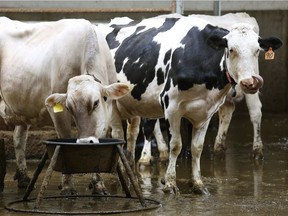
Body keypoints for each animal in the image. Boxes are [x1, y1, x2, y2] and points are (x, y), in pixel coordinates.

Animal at [0, 16, 127, 194]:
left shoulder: (107, 111)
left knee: (19, 137)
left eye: (96, 102)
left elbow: (99, 138)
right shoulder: (56, 111)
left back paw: (24, 178)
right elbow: (64, 139)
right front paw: (67, 185)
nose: (84, 142)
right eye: (69, 107)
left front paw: (98, 184)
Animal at [99, 15, 282, 194]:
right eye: (231, 49)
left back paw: (130, 175)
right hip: (112, 107)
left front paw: (197, 183)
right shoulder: (171, 106)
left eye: (257, 50)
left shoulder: (207, 111)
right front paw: (170, 183)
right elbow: (175, 145)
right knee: (117, 136)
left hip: (132, 105)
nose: (249, 83)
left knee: (131, 134)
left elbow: (197, 147)